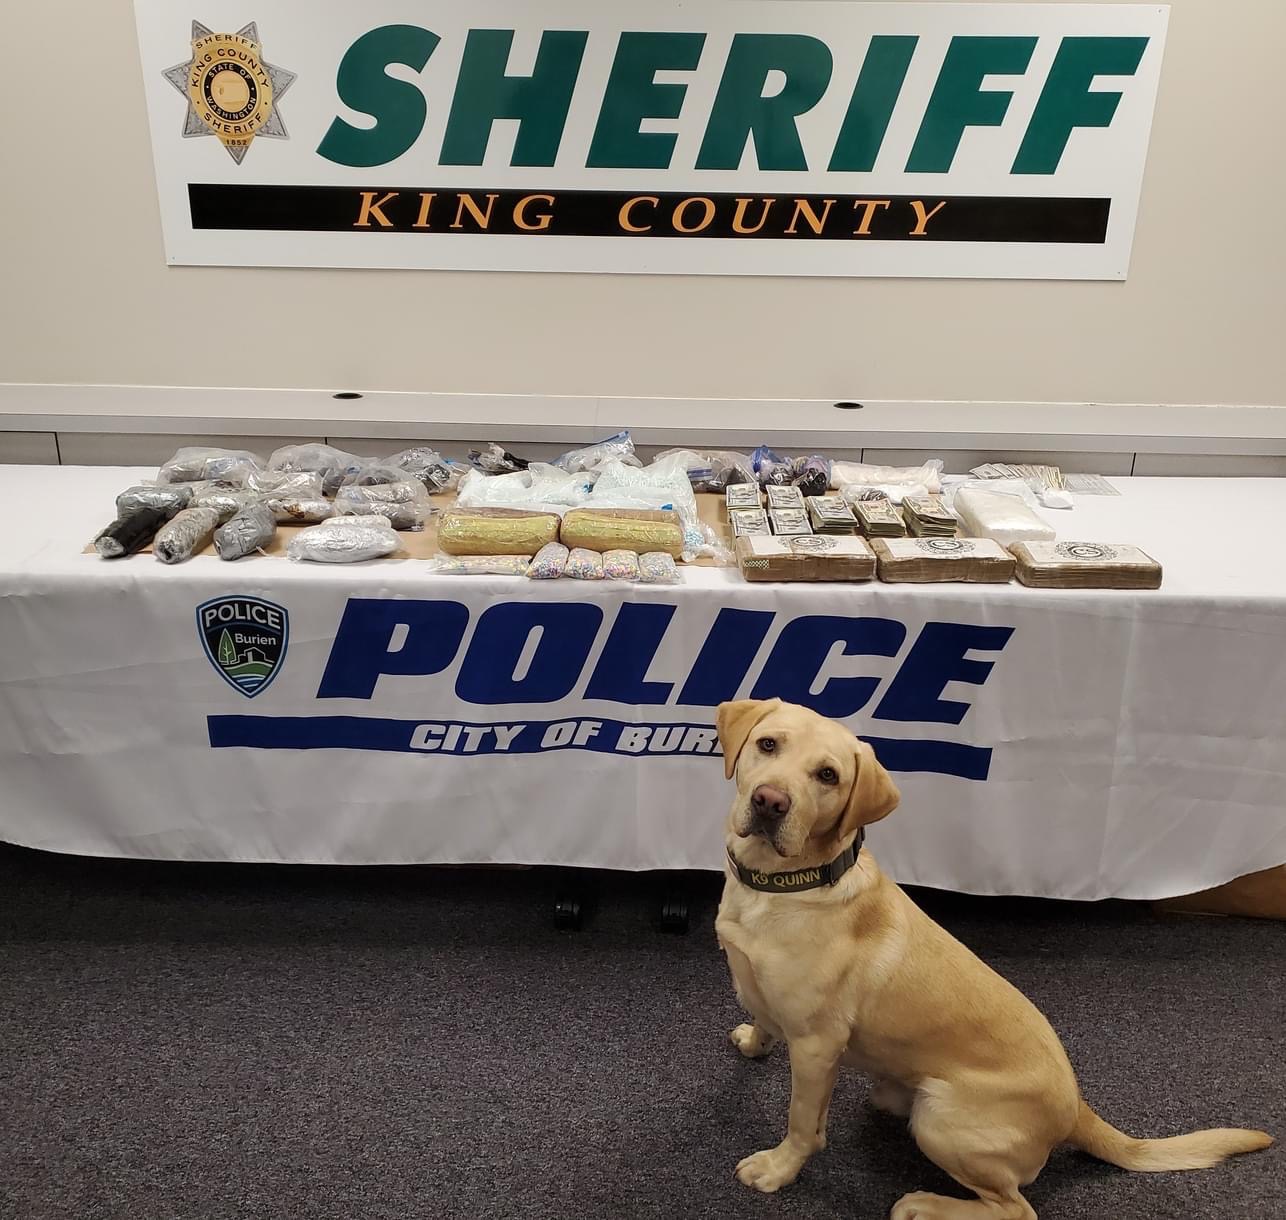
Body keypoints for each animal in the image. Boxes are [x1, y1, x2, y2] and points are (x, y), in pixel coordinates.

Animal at [720, 694, 1270, 1218]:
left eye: (828, 776)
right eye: (768, 745)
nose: (770, 802)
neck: (777, 886)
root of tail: (1076, 1109)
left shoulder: (817, 1045)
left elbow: (802, 1123)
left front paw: (778, 1168)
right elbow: (762, 1016)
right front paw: (754, 1039)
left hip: (940, 1118)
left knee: (1016, 1208)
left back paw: (925, 1206)